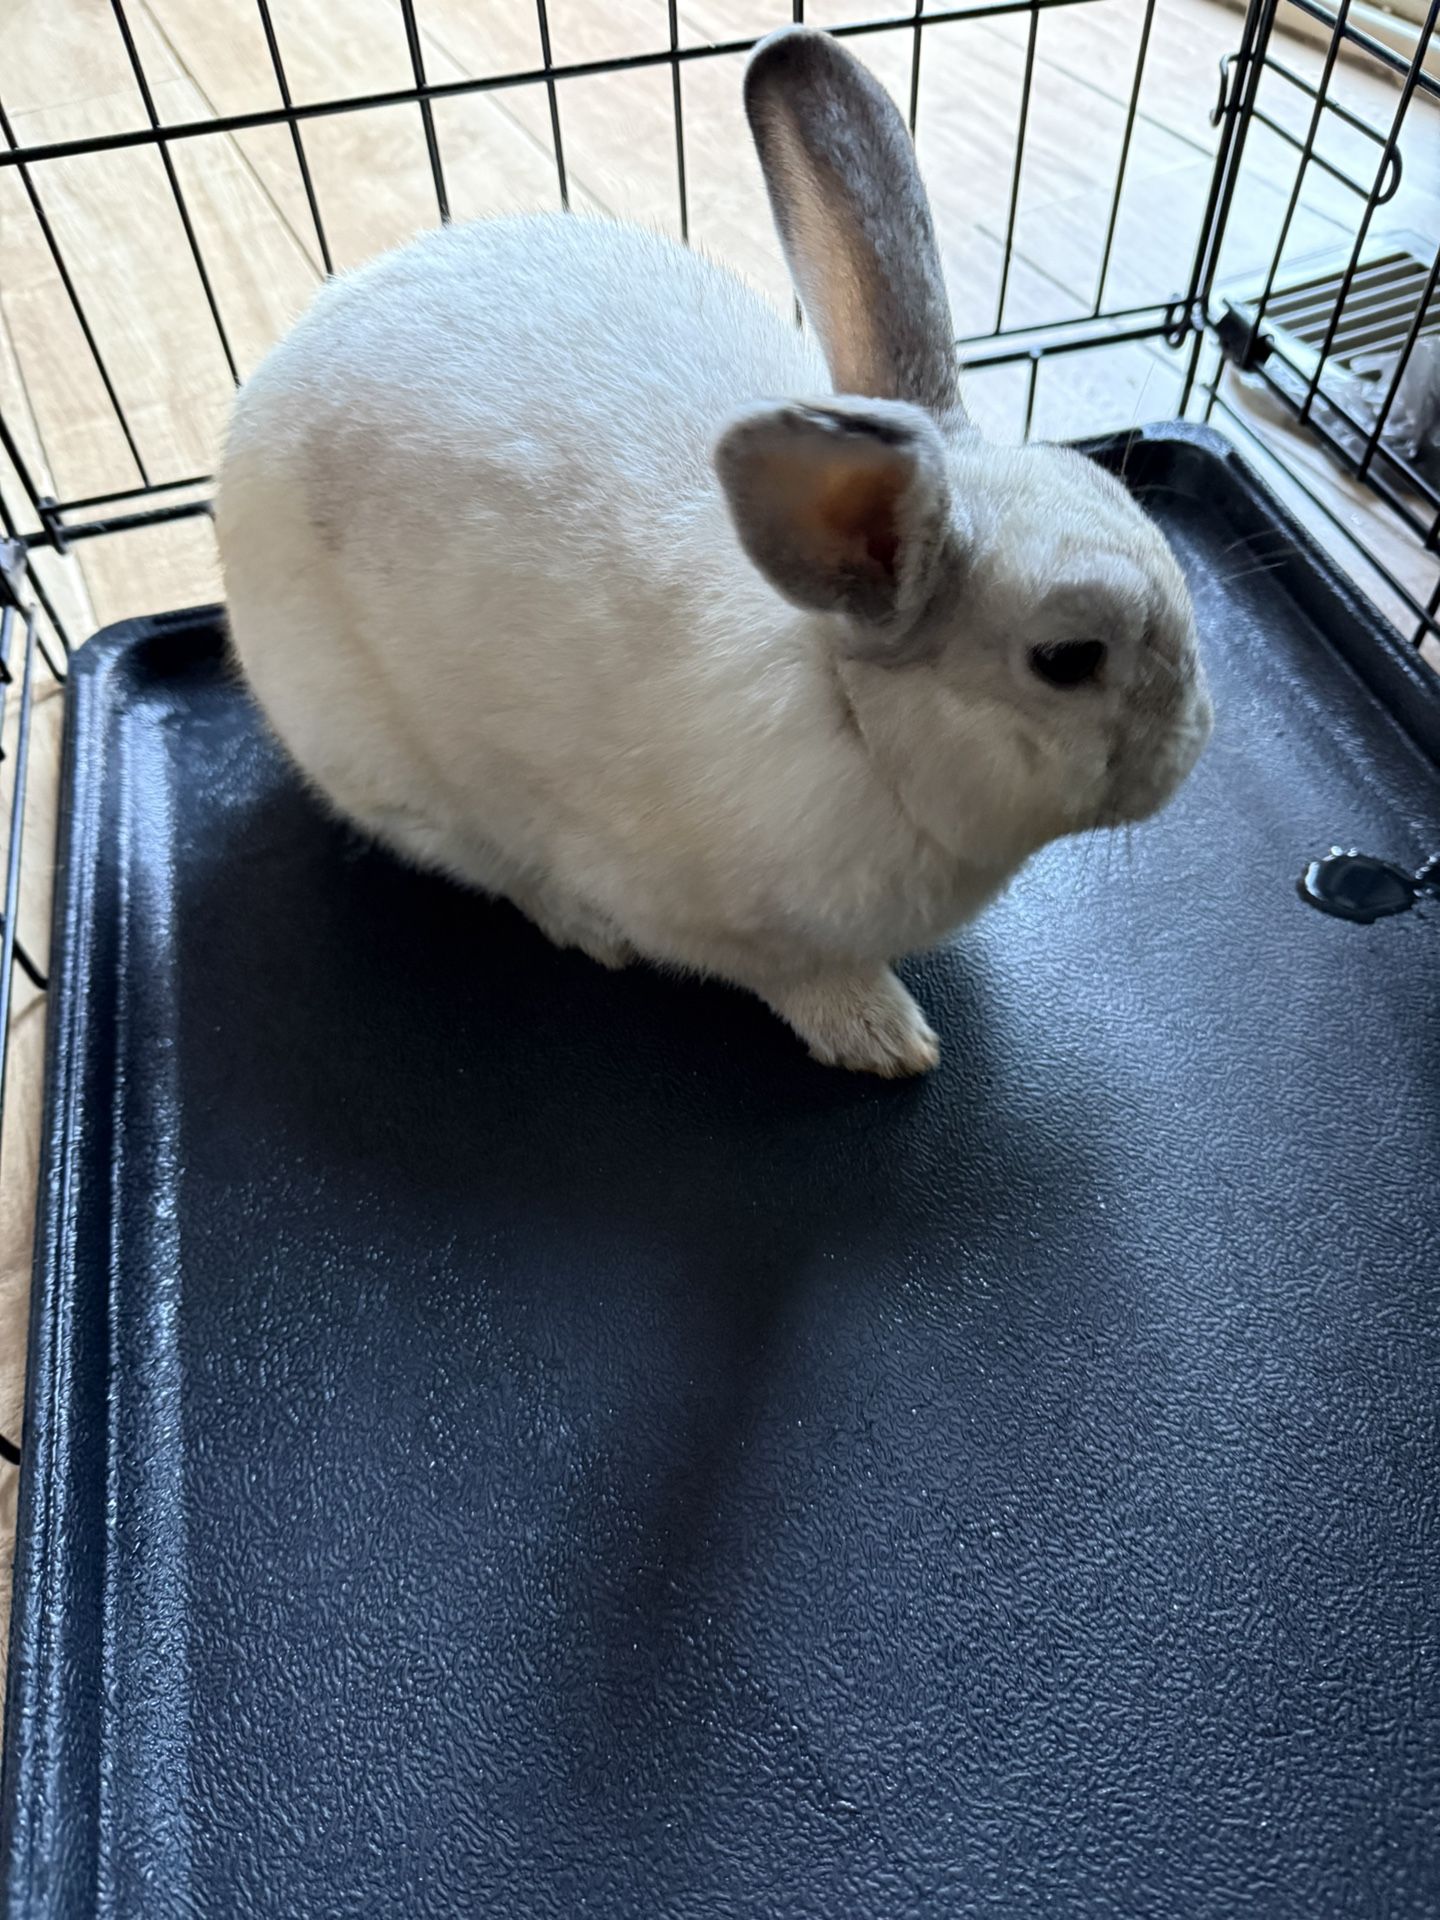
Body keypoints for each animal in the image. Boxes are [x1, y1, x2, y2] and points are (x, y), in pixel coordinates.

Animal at [216, 24, 1212, 1079]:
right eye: (1065, 660)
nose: (1194, 742)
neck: (851, 715)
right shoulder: (718, 924)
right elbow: (795, 978)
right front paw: (884, 1039)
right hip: (382, 767)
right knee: (490, 861)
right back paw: (583, 926)